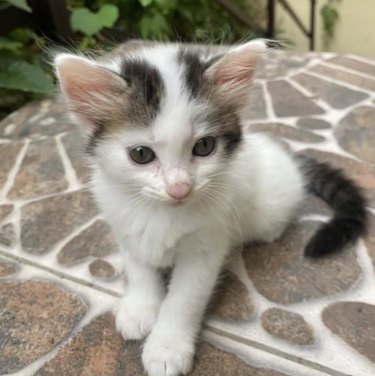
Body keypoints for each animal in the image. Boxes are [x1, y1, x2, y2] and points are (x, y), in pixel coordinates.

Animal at [54, 40, 368, 376]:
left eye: (204, 147)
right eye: (141, 154)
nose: (179, 188)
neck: (161, 211)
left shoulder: (206, 247)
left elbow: (184, 300)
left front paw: (167, 348)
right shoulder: (124, 226)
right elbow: (139, 269)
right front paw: (139, 309)